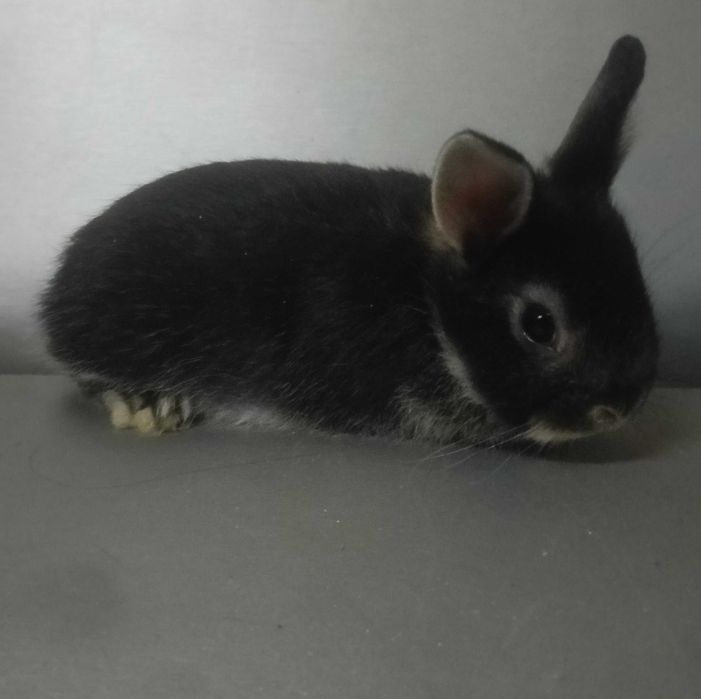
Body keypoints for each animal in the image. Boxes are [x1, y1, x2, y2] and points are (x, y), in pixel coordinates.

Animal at [39, 36, 658, 445]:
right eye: (538, 325)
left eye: (638, 283)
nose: (620, 411)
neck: (425, 302)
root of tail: (59, 285)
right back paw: (151, 405)